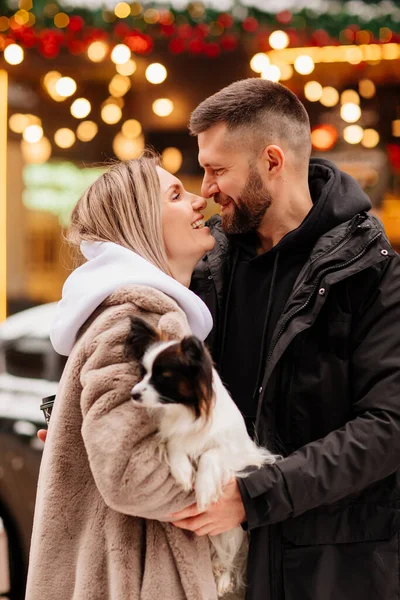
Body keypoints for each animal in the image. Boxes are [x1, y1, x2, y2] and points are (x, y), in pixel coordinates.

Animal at [129, 316, 278, 596]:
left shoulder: (237, 455)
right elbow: (176, 444)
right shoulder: (172, 434)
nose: (133, 394)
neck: (185, 411)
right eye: (143, 373)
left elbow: (211, 454)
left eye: (162, 377)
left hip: (231, 533)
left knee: (231, 552)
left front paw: (204, 488)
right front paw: (183, 472)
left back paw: (223, 577)